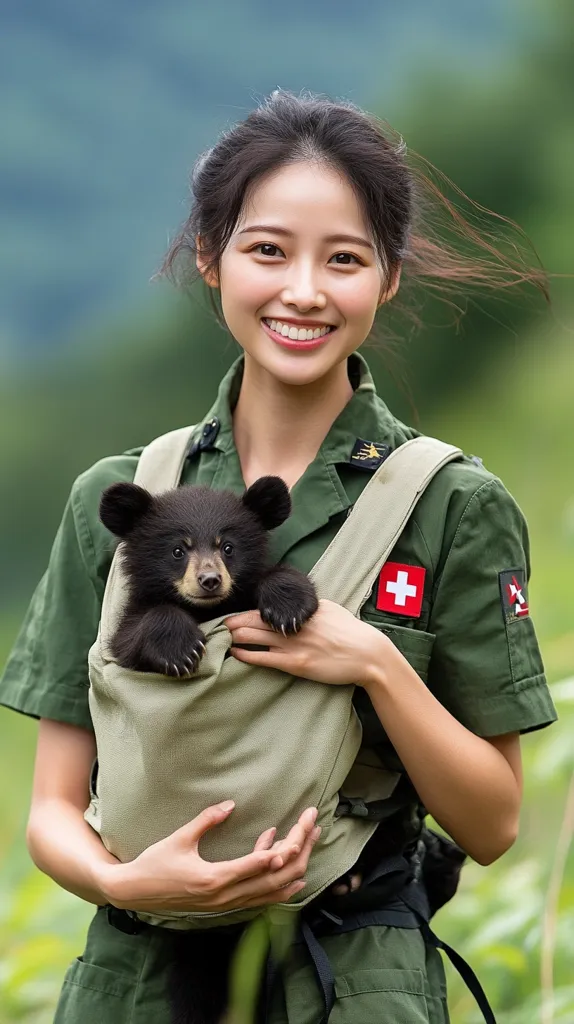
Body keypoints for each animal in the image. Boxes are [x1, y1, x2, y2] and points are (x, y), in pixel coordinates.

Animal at [99, 475, 319, 676]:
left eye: (228, 547)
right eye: (177, 551)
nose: (210, 580)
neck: (208, 609)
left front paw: (288, 611)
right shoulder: (134, 614)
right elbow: (127, 639)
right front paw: (181, 653)